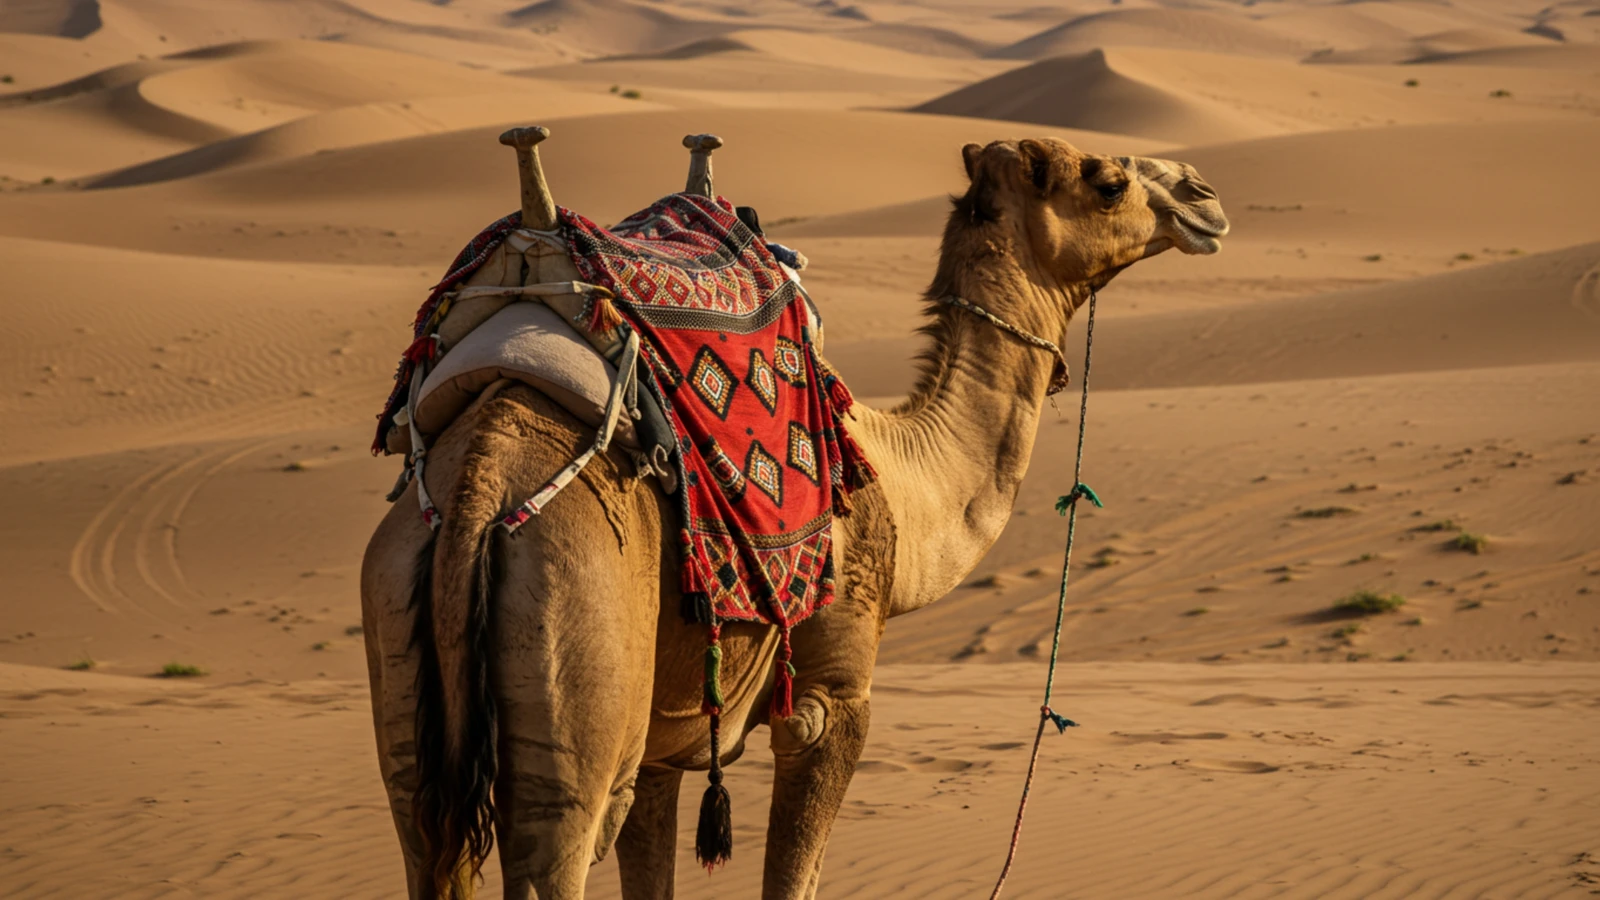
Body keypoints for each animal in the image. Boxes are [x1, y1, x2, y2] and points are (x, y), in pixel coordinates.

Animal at [360, 131, 1229, 900]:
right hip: (573, 673)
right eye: (1107, 182)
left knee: (423, 843)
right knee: (554, 852)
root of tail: (480, 482)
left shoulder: (663, 741)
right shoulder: (830, 697)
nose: (1202, 195)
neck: (899, 480)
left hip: (405, 663)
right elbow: (793, 874)